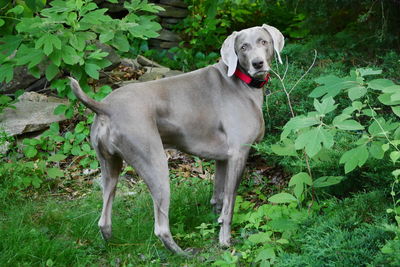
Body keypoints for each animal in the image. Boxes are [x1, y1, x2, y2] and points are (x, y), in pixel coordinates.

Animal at [71, 23, 284, 255]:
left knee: (103, 219)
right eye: (243, 47)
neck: (240, 82)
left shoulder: (223, 159)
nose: (258, 63)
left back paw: (112, 245)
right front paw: (225, 241)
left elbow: (218, 198)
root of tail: (105, 107)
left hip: (109, 165)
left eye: (264, 41)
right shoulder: (238, 153)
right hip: (155, 164)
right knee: (161, 227)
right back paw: (183, 254)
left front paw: (214, 226)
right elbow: (230, 203)